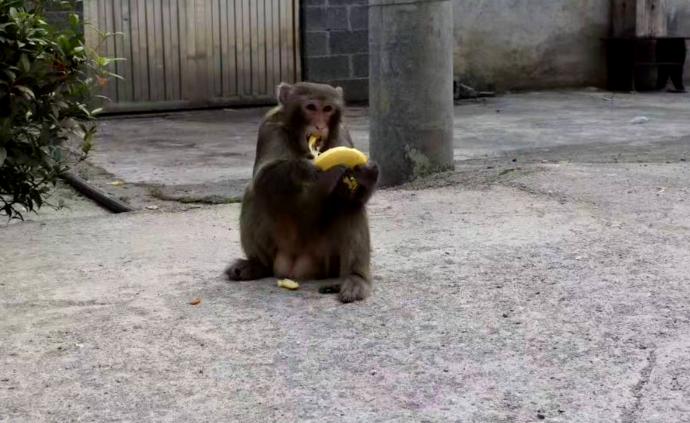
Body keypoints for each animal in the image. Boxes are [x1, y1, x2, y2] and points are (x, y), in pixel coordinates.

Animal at [224, 81, 378, 304]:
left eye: (328, 109)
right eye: (311, 107)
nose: (320, 126)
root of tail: (295, 266)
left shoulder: (342, 133)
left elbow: (346, 194)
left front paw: (365, 175)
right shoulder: (270, 126)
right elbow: (261, 177)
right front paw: (303, 169)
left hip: (327, 260)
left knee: (351, 205)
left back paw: (356, 278)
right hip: (280, 249)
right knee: (253, 193)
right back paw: (258, 265)